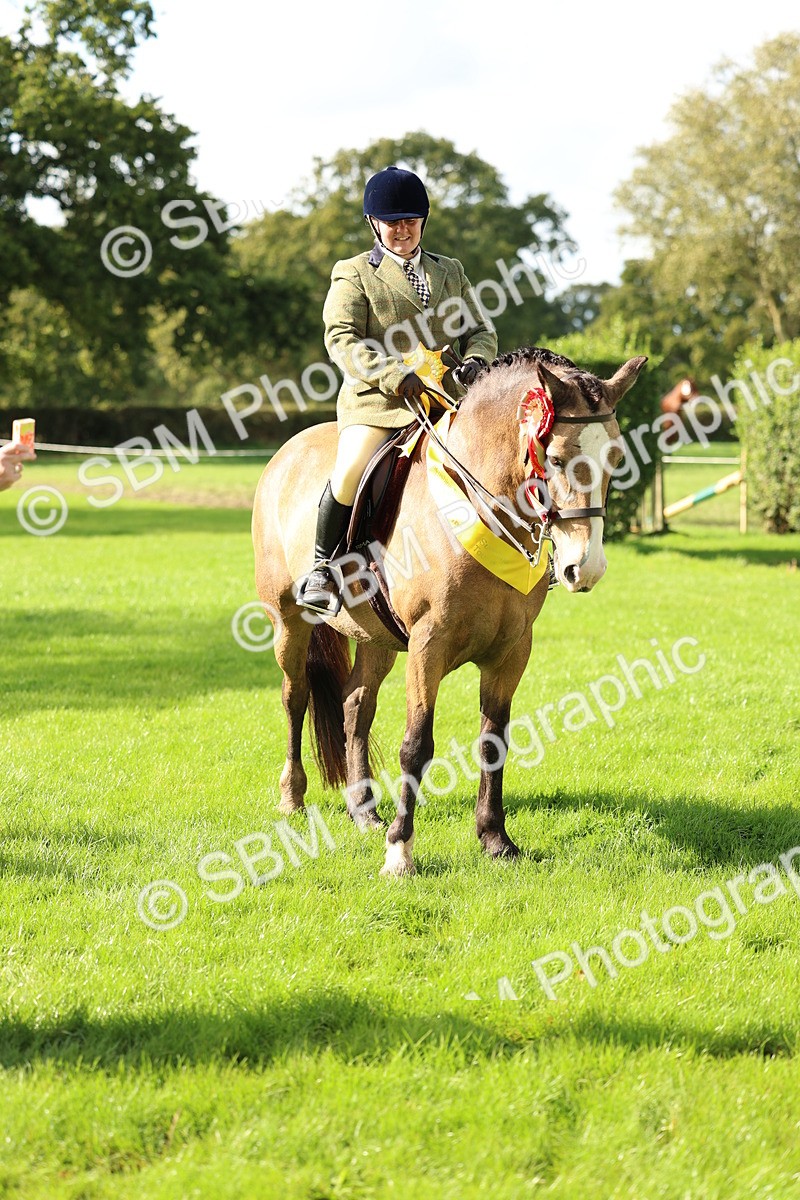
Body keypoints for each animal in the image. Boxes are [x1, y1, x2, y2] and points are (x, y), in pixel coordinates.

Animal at [252, 347, 647, 876]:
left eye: (617, 459)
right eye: (556, 458)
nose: (585, 568)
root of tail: (288, 450)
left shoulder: (512, 650)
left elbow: (493, 740)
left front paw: (495, 839)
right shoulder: (428, 644)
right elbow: (416, 745)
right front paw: (400, 853)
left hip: (378, 637)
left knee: (356, 706)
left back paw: (364, 811)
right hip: (288, 622)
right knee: (295, 697)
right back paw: (293, 796)